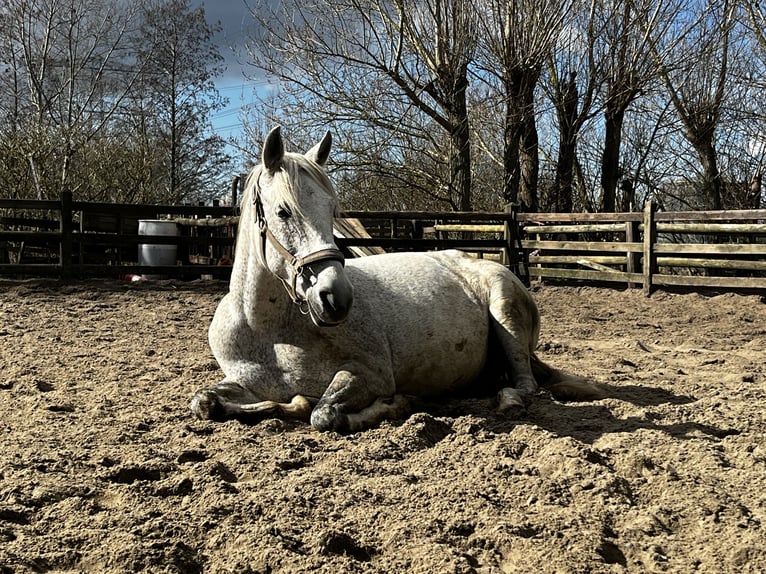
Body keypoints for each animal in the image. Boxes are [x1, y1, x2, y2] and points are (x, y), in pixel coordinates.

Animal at [189, 127, 604, 432]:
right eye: (283, 211)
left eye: (333, 209)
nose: (335, 298)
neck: (270, 329)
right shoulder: (243, 382)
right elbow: (205, 402)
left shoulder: (371, 375)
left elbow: (324, 413)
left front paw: (399, 404)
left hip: (506, 314)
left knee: (525, 386)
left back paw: (508, 400)